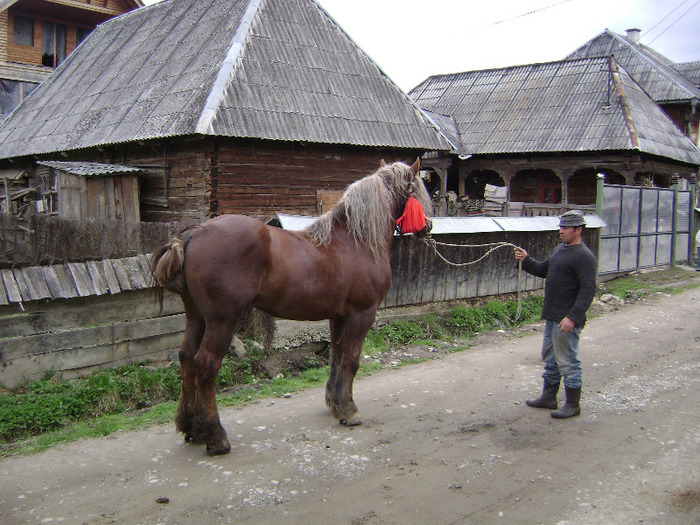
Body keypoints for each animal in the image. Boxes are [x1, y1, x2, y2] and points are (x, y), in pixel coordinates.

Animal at [150, 158, 430, 452]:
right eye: (419, 189)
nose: (429, 226)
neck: (356, 241)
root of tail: (196, 233)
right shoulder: (361, 314)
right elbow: (351, 360)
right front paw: (349, 410)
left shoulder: (338, 316)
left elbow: (337, 355)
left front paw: (335, 403)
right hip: (221, 320)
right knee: (205, 364)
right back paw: (216, 436)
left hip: (197, 317)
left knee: (186, 358)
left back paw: (190, 426)